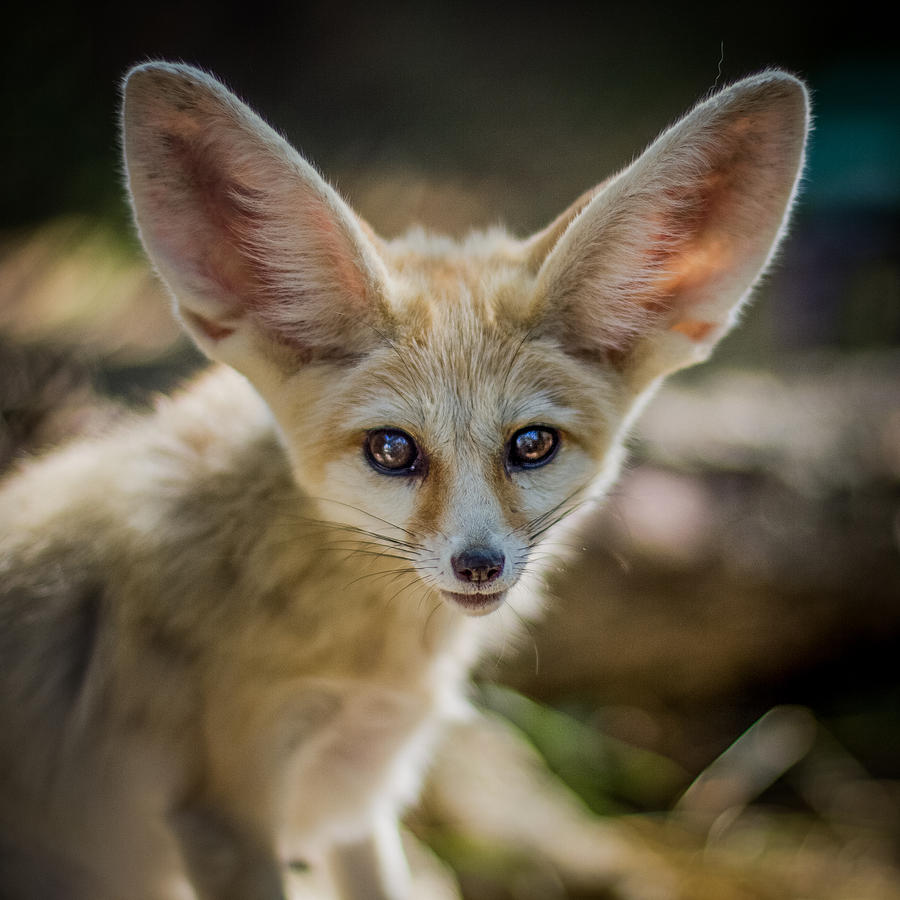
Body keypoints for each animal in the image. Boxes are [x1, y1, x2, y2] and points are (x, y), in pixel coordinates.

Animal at [0, 65, 808, 900]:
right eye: (392, 450)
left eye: (532, 444)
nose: (478, 565)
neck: (364, 671)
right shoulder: (228, 817)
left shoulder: (361, 800)